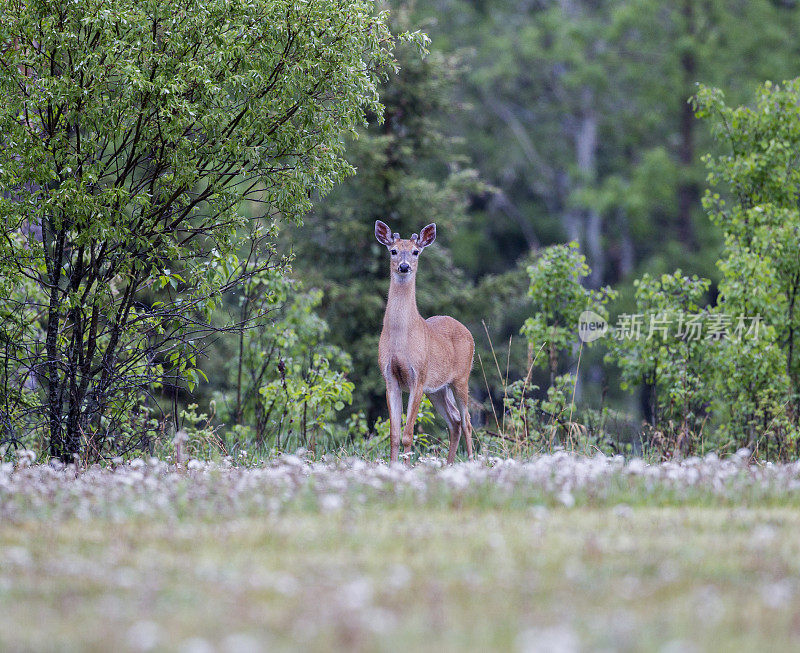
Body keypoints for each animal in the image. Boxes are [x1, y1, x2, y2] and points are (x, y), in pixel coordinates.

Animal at [376, 222, 476, 460]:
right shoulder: (389, 377)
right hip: (437, 389)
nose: (404, 267)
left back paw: (471, 461)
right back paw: (449, 464)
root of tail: (468, 332)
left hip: (461, 378)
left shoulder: (418, 376)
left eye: (415, 251)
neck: (401, 340)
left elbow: (407, 435)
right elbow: (394, 435)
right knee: (454, 420)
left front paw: (406, 464)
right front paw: (394, 465)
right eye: (393, 251)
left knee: (466, 421)